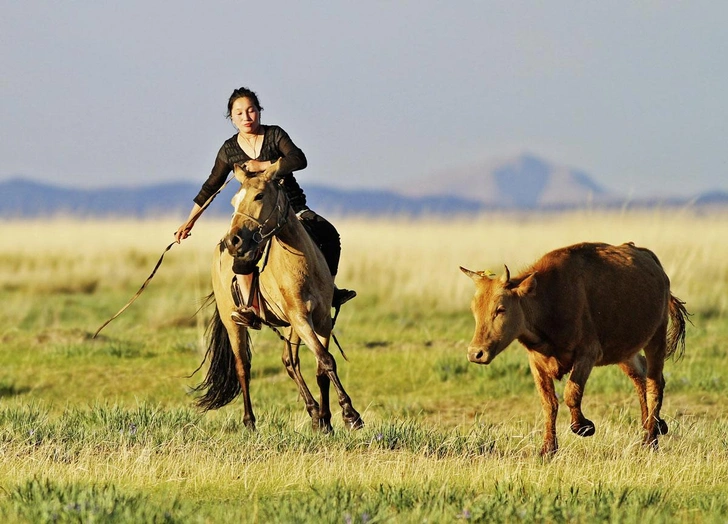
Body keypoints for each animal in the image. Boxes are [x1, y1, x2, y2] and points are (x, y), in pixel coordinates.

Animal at [193, 162, 364, 432]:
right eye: (233, 201)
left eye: (259, 196)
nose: (234, 241)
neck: (301, 265)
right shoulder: (301, 319)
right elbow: (326, 360)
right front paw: (350, 414)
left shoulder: (321, 319)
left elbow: (322, 366)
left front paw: (327, 420)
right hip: (234, 323)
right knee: (243, 367)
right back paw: (250, 422)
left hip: (291, 325)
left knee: (290, 361)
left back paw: (314, 413)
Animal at [460, 242, 688, 454]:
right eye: (473, 308)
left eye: (501, 309)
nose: (476, 353)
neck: (547, 300)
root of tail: (650, 260)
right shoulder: (536, 363)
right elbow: (549, 403)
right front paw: (547, 449)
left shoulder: (587, 355)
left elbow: (571, 393)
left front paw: (585, 427)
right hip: (625, 352)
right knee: (641, 377)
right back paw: (656, 427)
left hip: (656, 339)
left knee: (654, 384)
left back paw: (650, 441)